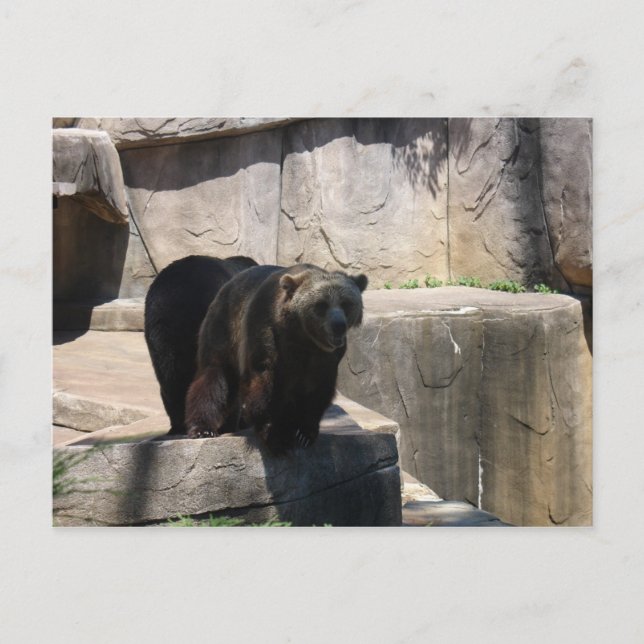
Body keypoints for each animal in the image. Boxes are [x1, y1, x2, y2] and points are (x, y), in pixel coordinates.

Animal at [185, 263, 368, 453]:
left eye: (346, 303)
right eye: (321, 305)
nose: (338, 325)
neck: (302, 338)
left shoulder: (324, 358)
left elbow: (318, 391)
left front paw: (304, 433)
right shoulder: (268, 335)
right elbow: (265, 383)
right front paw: (275, 435)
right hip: (224, 328)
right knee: (214, 376)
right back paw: (202, 428)